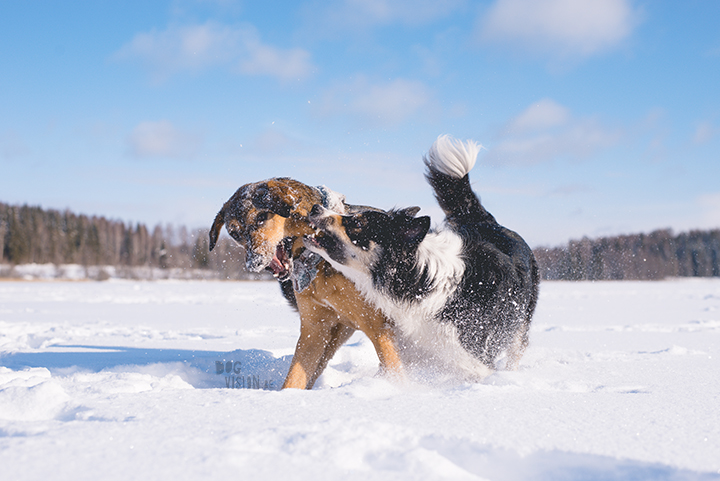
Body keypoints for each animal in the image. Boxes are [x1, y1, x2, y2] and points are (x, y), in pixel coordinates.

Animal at [208, 178, 402, 388]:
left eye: (261, 218)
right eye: (235, 233)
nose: (254, 264)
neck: (318, 259)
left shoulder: (380, 328)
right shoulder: (315, 330)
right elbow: (295, 378)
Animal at [306, 134, 540, 378]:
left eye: (358, 223)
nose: (315, 208)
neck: (418, 280)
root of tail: (487, 222)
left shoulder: (477, 359)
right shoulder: (405, 347)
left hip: (520, 324)